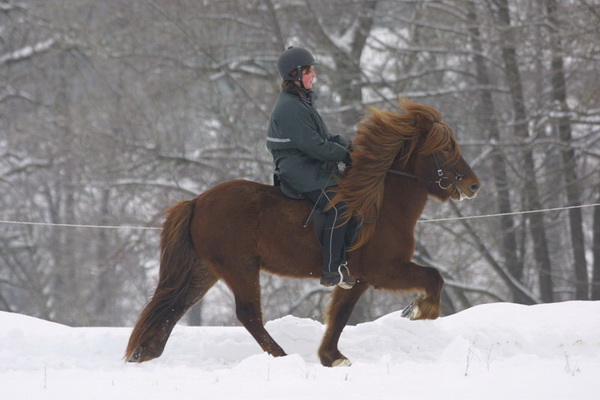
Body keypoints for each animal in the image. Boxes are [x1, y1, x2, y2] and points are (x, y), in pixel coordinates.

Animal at [124, 98, 480, 368]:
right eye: (445, 148)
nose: (473, 185)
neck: (380, 203)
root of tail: (196, 201)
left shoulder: (356, 279)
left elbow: (339, 315)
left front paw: (331, 357)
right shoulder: (384, 270)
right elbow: (433, 278)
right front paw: (419, 311)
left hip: (205, 270)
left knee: (173, 307)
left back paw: (145, 353)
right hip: (239, 268)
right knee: (247, 314)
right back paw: (281, 357)